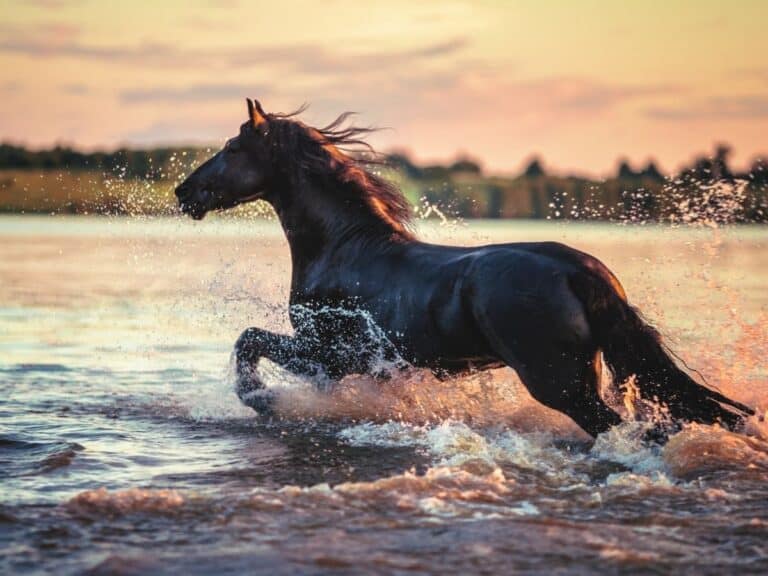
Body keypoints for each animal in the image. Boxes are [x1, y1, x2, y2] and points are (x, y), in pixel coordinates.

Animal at [174, 98, 753, 438]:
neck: (343, 248)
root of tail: (582, 271)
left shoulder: (330, 354)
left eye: (232, 147)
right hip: (584, 376)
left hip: (557, 382)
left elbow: (248, 340)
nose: (183, 192)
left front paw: (263, 401)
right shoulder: (342, 364)